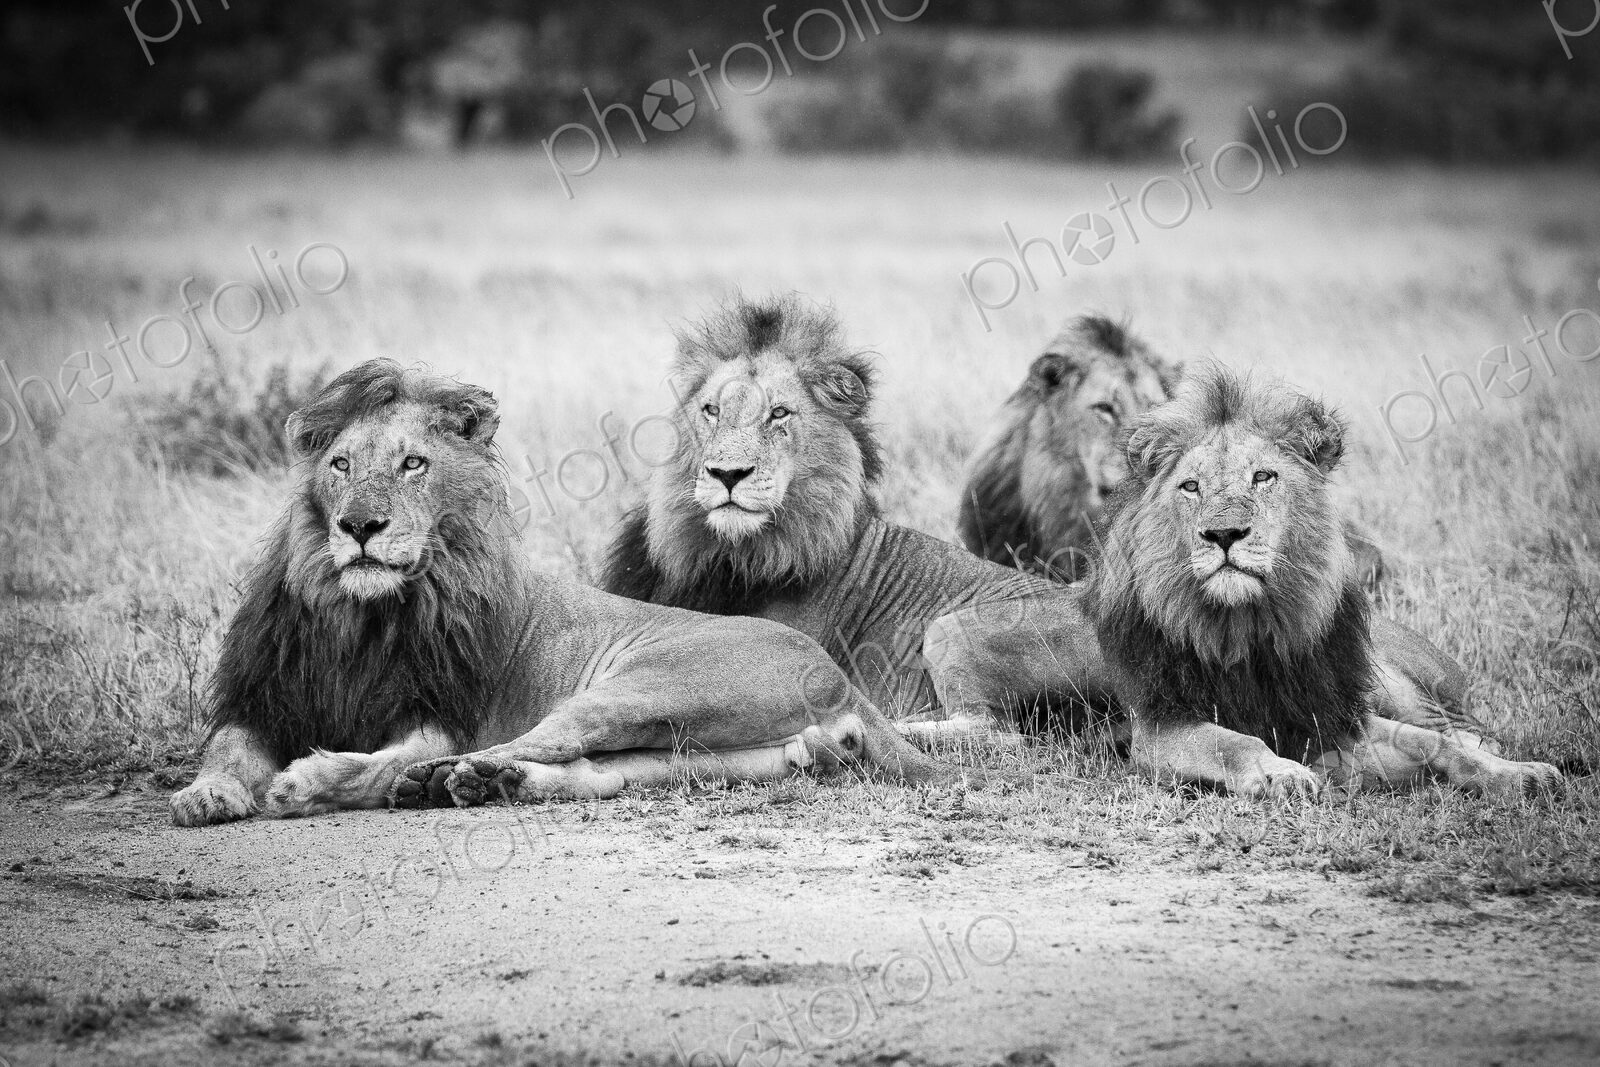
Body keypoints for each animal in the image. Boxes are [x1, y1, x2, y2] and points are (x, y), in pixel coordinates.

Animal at [169, 360, 961, 826]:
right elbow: (227, 750)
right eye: (339, 464)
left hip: (644, 687)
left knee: (530, 741)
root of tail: (837, 676)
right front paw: (205, 794)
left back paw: (427, 780)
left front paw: (304, 781)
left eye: (413, 464)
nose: (360, 525)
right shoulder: (261, 697)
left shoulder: (441, 710)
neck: (359, 614)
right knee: (593, 773)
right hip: (708, 751)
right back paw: (490, 783)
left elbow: (395, 749)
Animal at [1083, 365, 1562, 798]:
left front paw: (1519, 775)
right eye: (1190, 487)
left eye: (1262, 477)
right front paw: (1282, 774)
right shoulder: (1159, 726)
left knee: (1457, 729)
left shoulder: (1331, 717)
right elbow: (1234, 742)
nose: (1224, 534)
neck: (1246, 626)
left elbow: (1433, 744)